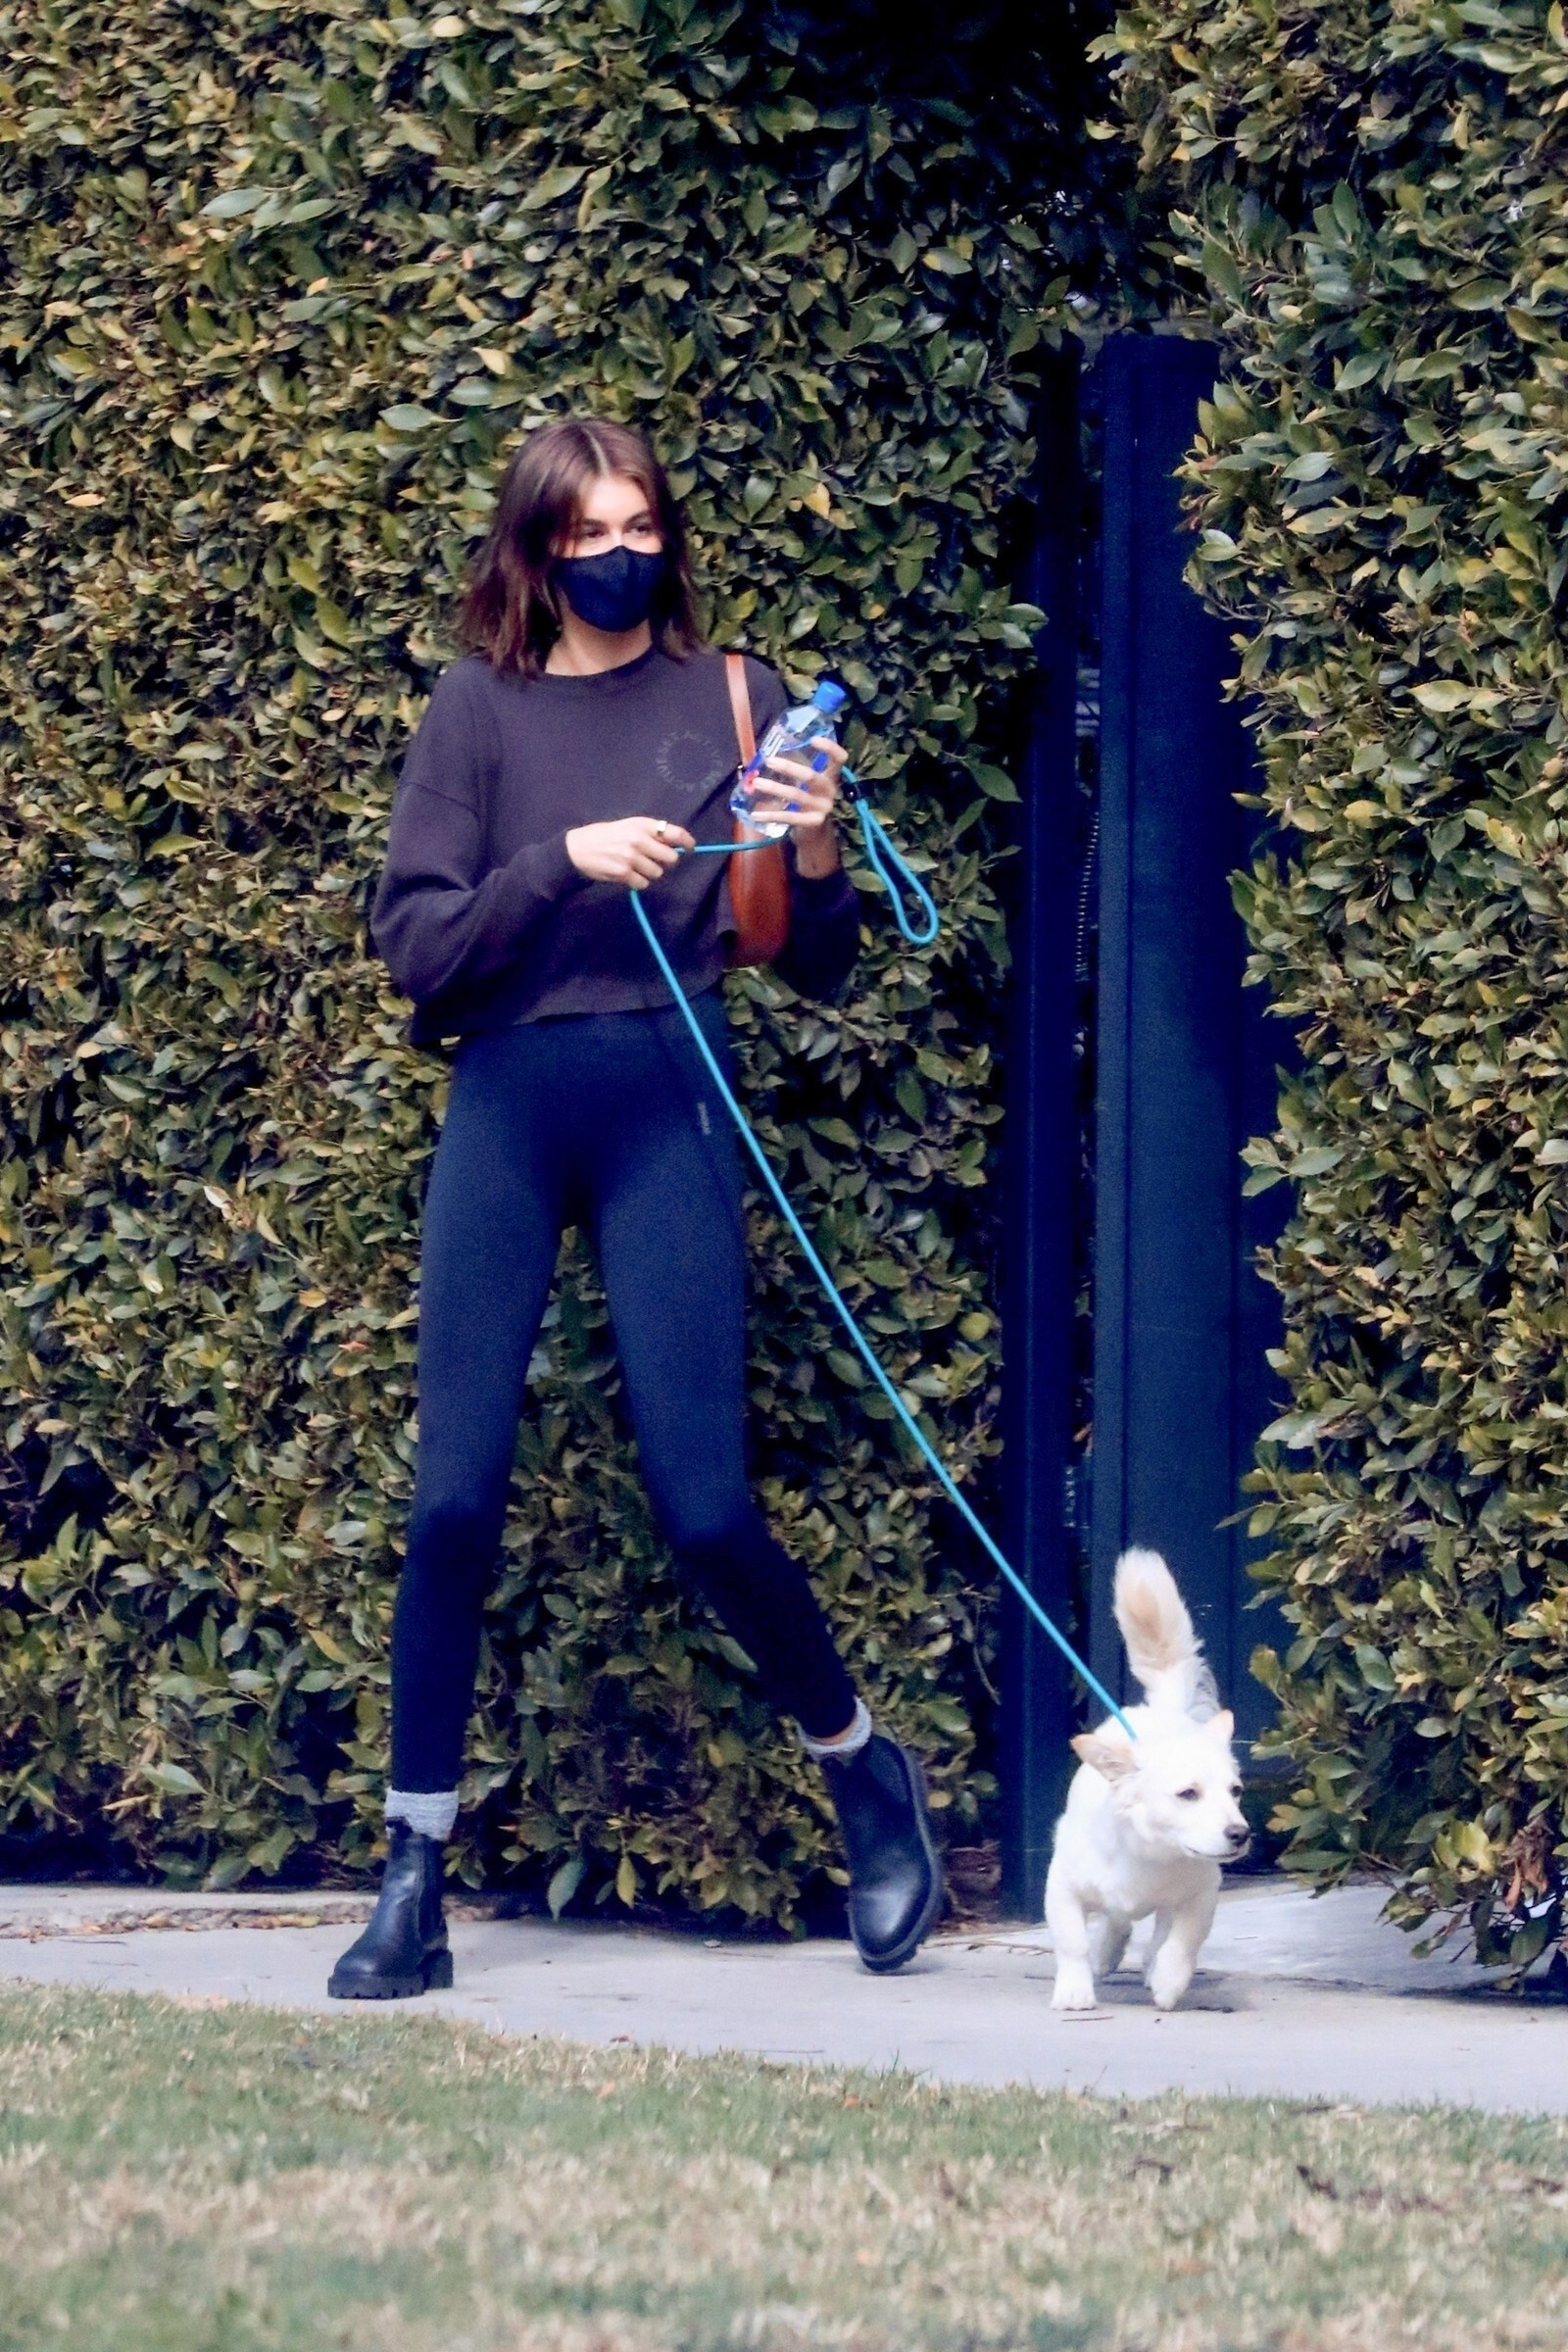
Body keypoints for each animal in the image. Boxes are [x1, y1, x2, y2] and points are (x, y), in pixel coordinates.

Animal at [1045, 1548, 1249, 2012]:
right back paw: (1106, 1953)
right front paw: (1074, 1989)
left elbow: (1183, 1941)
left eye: (1236, 1792)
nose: (1240, 1833)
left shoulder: (1203, 1893)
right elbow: (1071, 1941)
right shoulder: (1061, 1886)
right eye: (1188, 1794)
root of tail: (1163, 1711)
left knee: (1150, 1930)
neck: (1152, 1856)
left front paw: (1169, 1980)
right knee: (1116, 1920)